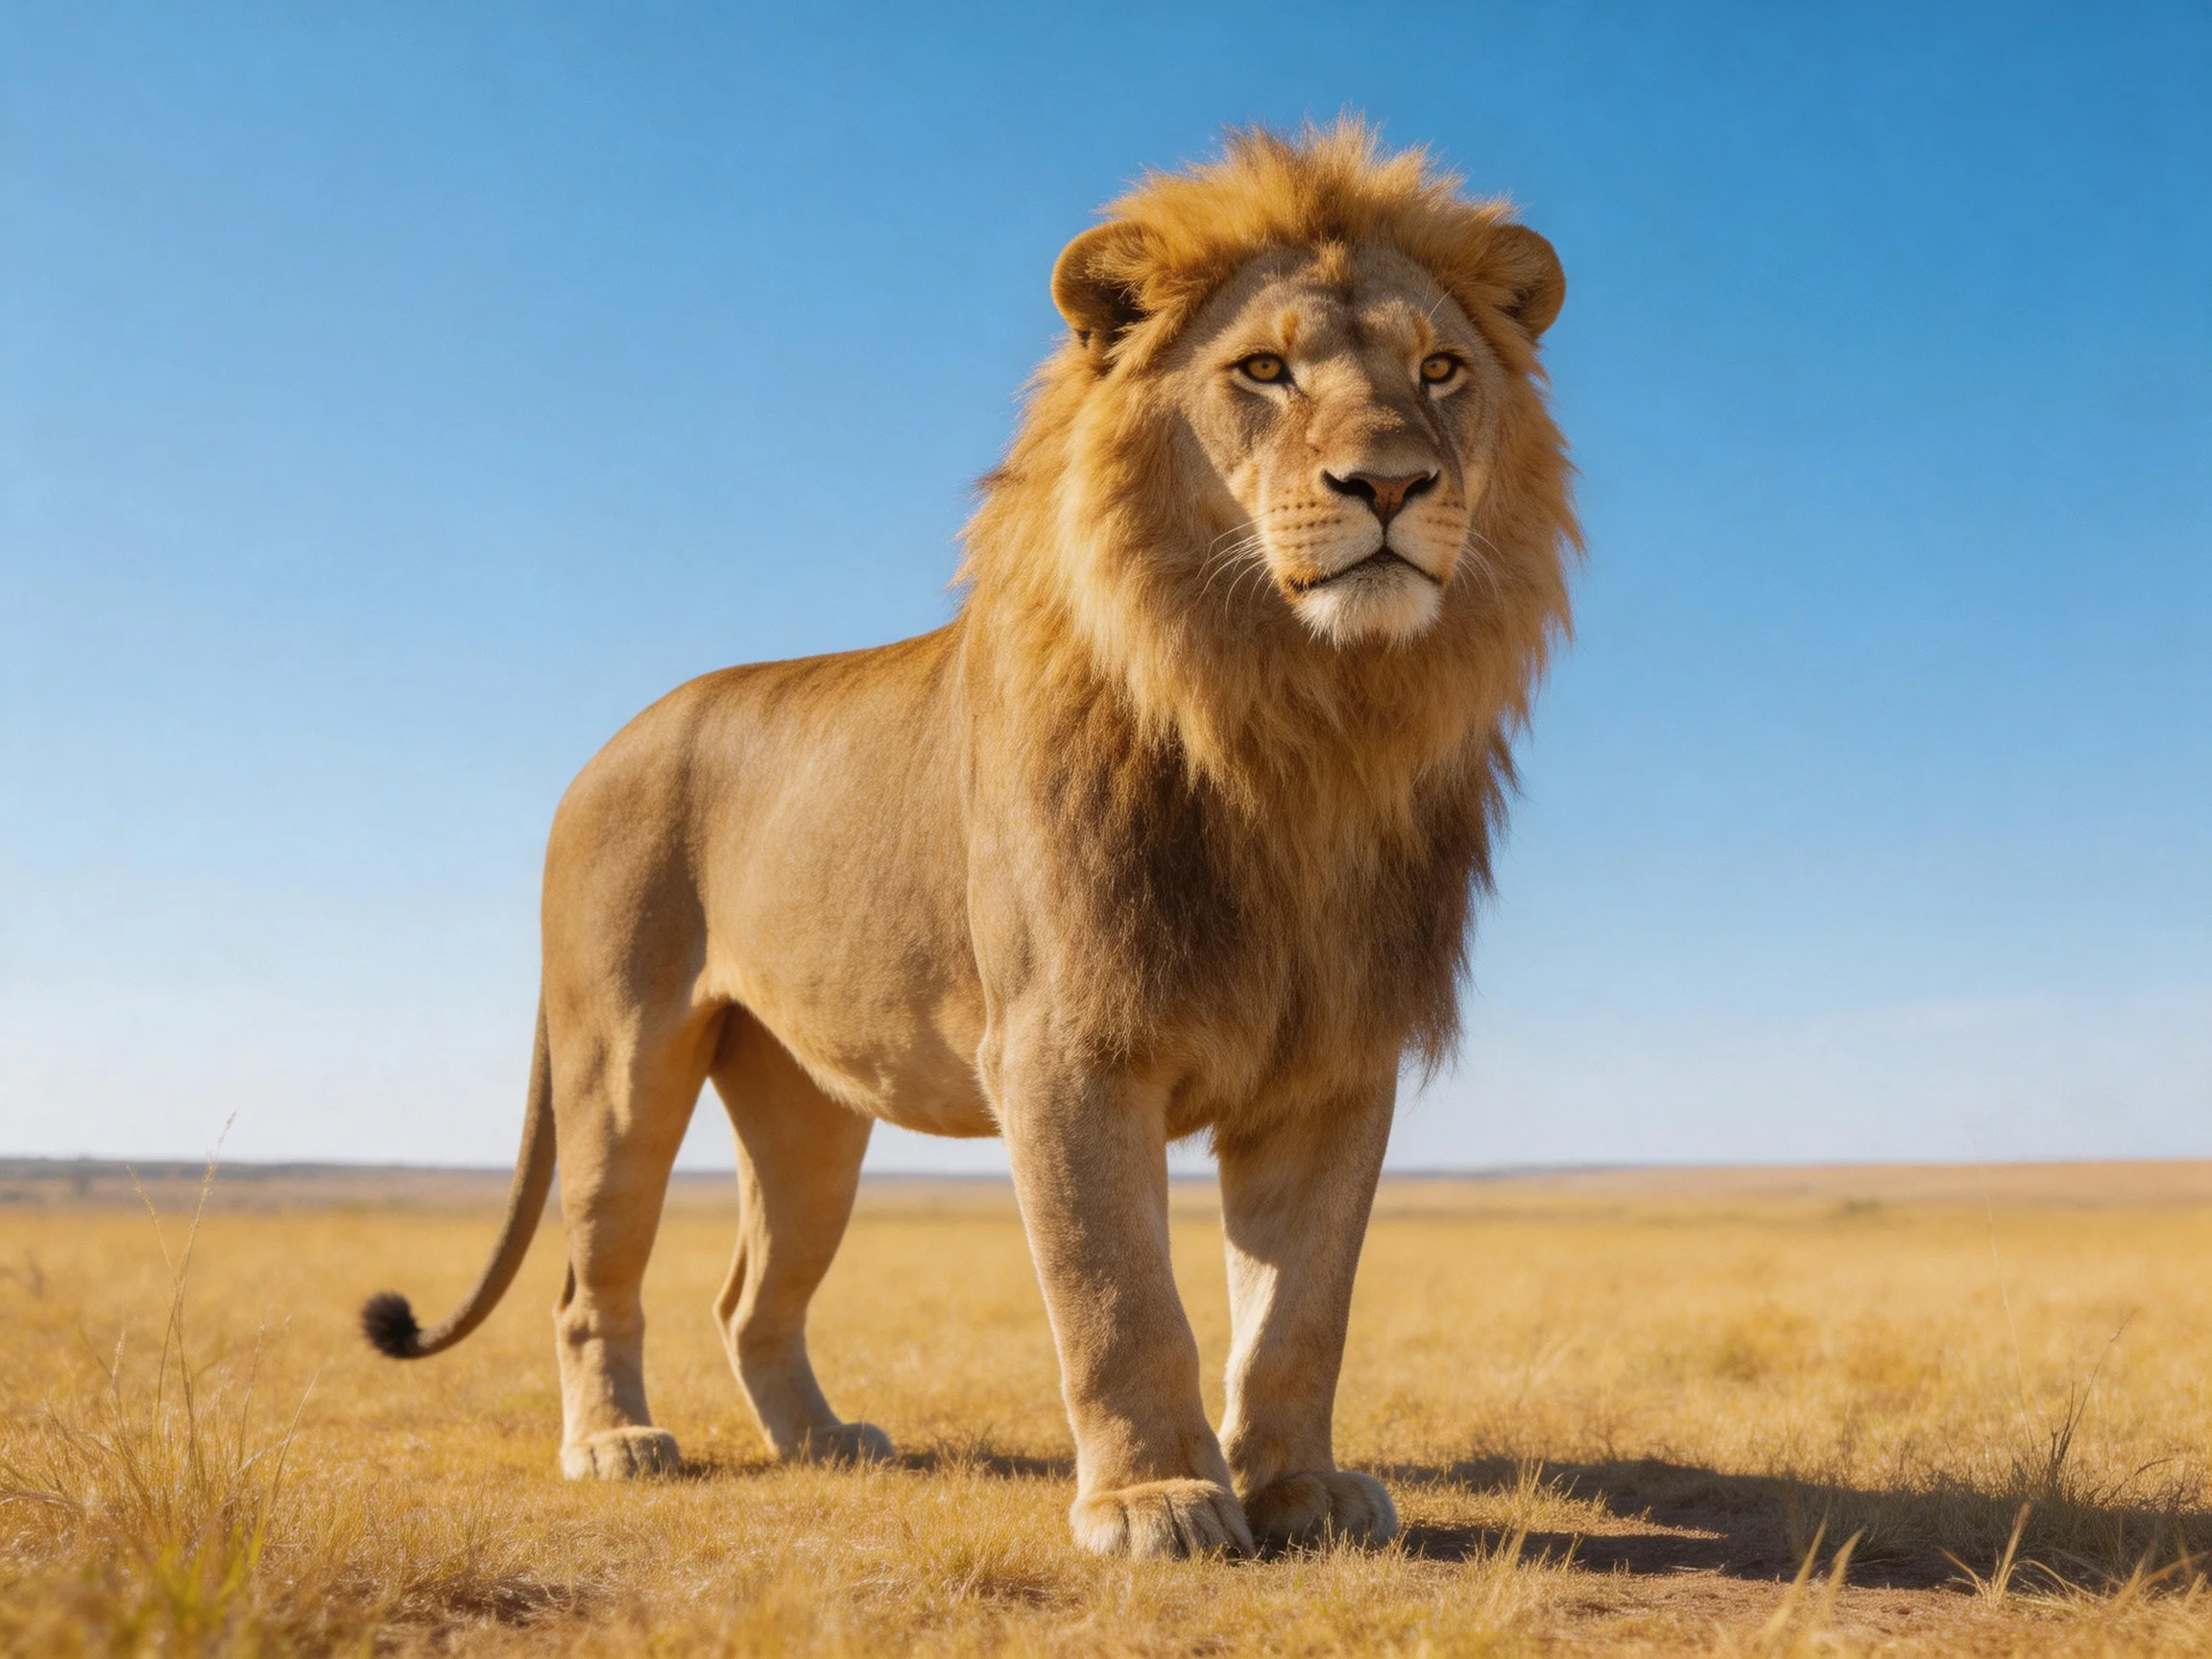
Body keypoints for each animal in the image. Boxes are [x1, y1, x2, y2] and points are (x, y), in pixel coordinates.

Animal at [361, 119, 1577, 1560]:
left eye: (1441, 370)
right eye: (1263, 371)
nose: (1391, 481)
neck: (1297, 719)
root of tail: (602, 748)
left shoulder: (1334, 1061)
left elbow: (1299, 1312)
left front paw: (1298, 1489)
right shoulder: (1062, 1045)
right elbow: (1119, 1296)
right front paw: (1155, 1499)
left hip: (810, 1116)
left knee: (751, 1295)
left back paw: (822, 1443)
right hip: (618, 1063)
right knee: (591, 1276)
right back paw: (616, 1444)